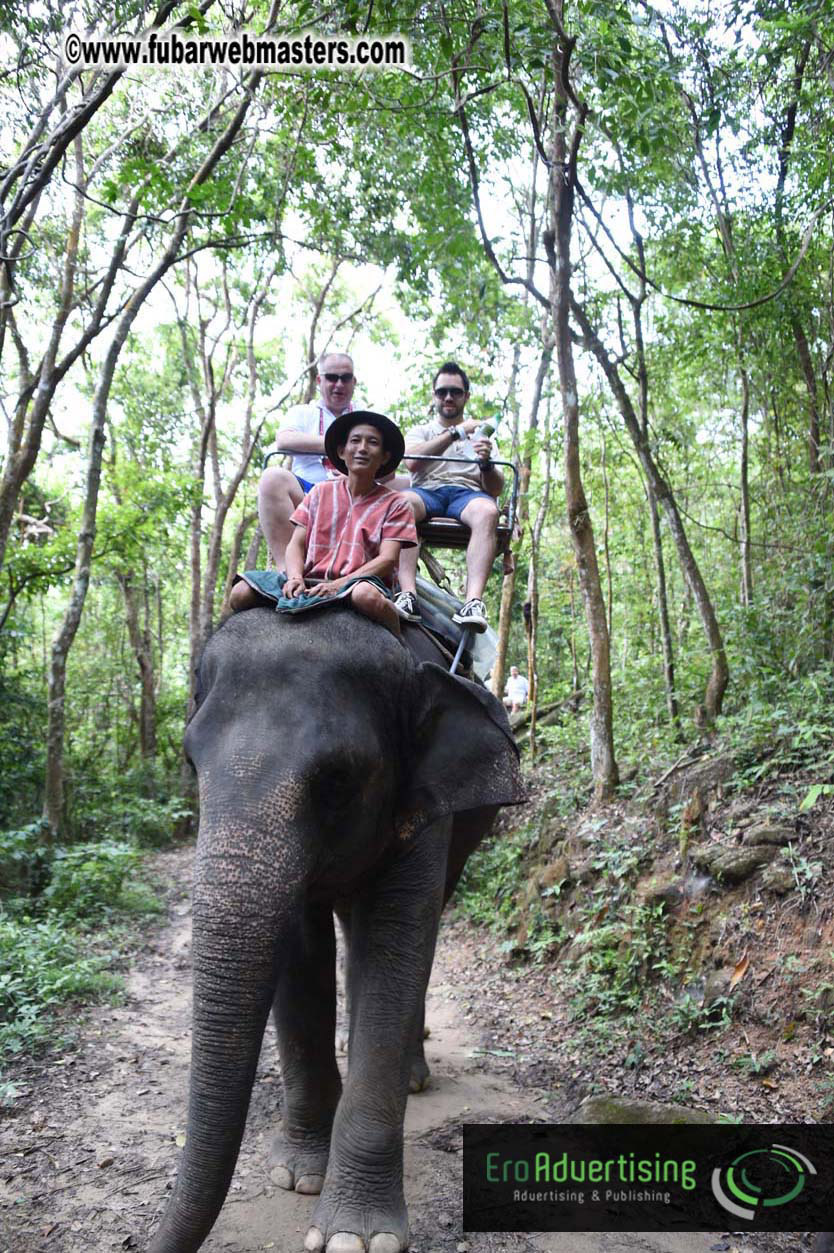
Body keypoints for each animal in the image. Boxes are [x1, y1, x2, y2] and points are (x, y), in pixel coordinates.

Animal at [148, 604, 524, 1253]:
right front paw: (297, 1174)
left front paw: (357, 1236)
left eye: (339, 779)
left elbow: (396, 942)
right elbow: (301, 955)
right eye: (190, 762)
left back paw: (413, 1075)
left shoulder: (424, 807)